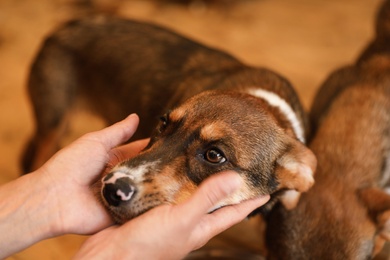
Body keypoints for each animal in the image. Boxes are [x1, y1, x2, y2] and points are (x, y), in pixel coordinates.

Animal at [22, 15, 316, 223]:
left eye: (214, 155)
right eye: (163, 122)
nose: (113, 188)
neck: (265, 102)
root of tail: (68, 25)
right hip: (53, 119)